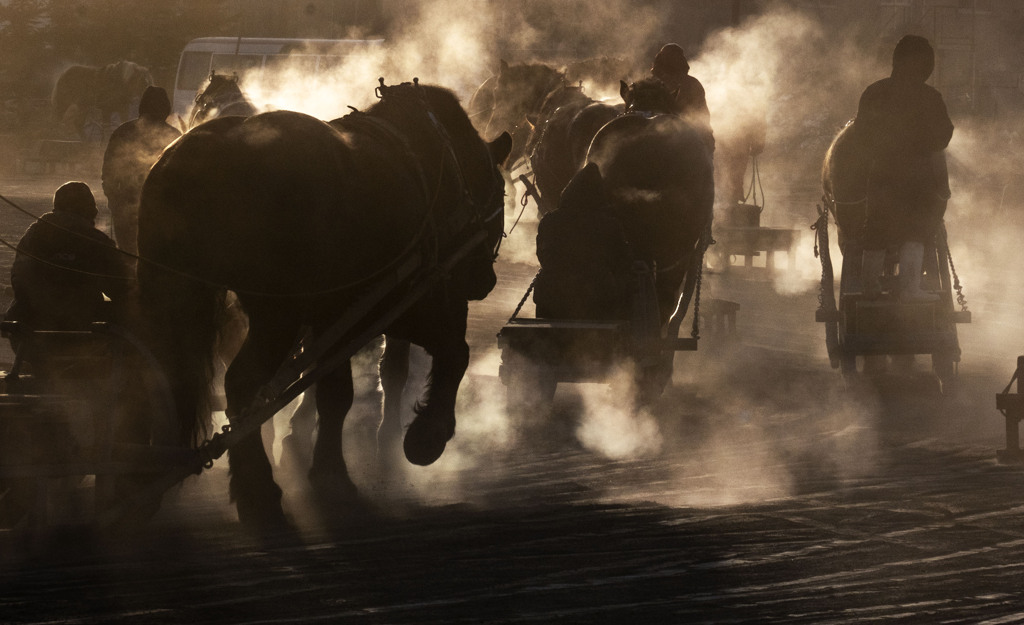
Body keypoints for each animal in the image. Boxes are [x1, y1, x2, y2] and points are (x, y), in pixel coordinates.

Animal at [138, 80, 512, 528]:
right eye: (500, 194)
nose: (484, 280)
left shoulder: (336, 316)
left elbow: (334, 392)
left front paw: (325, 466)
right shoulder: (408, 300)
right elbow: (453, 353)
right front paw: (425, 437)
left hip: (174, 294)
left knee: (165, 376)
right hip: (277, 315)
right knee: (242, 384)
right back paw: (257, 491)